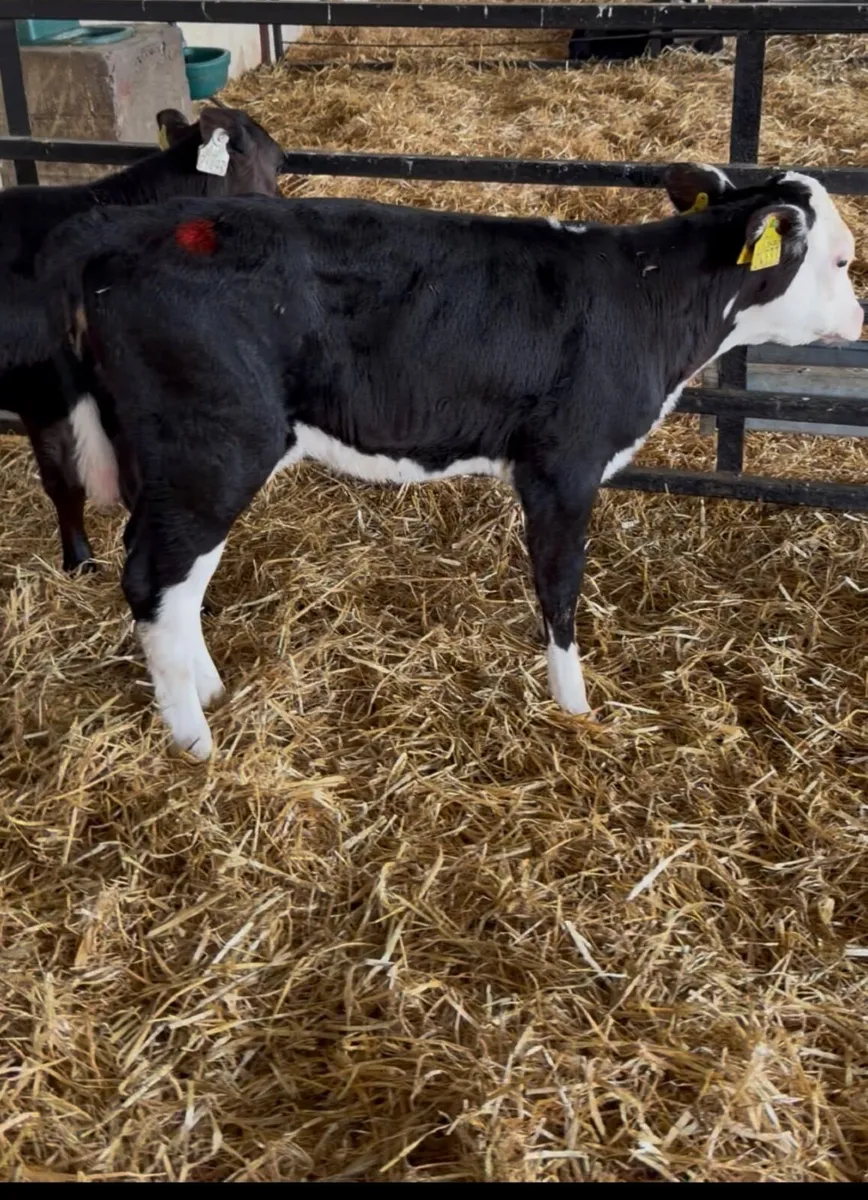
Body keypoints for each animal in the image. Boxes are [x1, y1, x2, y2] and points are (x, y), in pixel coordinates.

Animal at [41, 164, 862, 758]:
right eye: (843, 260)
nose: (858, 317)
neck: (648, 297)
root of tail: (115, 233)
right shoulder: (563, 465)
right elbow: (560, 591)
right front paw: (577, 711)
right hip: (215, 448)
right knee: (155, 581)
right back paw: (197, 745)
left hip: (184, 460)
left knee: (171, 581)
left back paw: (209, 694)